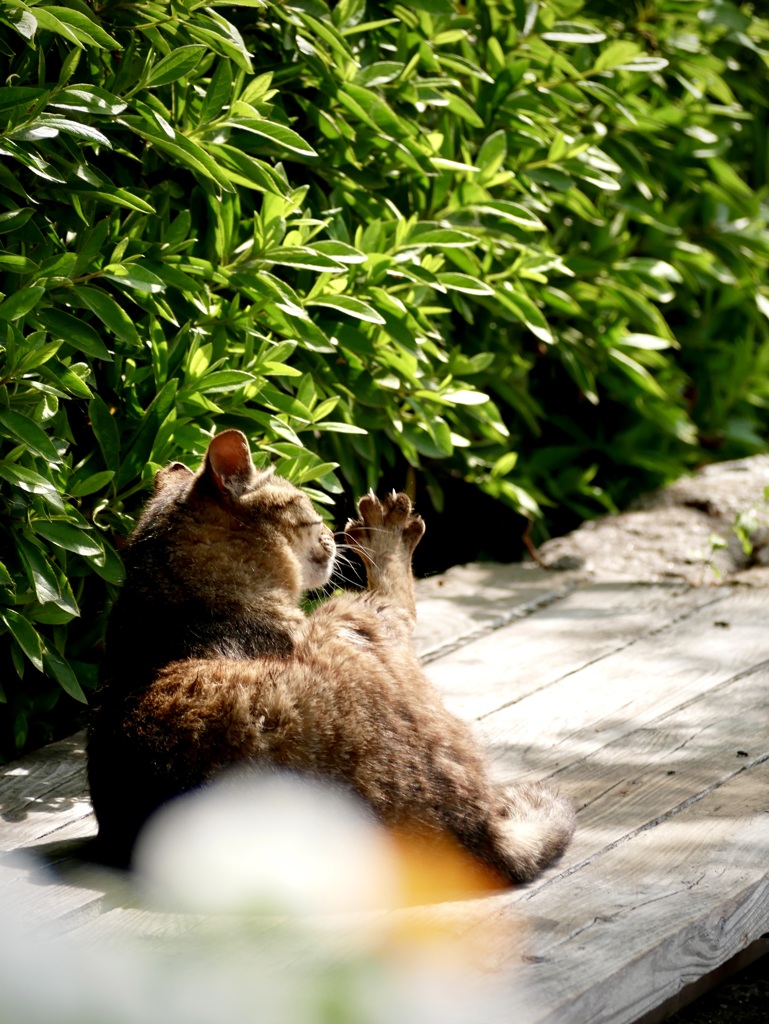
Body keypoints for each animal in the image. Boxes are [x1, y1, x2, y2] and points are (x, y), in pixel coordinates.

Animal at [87, 430, 573, 880]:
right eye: (307, 505)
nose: (328, 531)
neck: (170, 601)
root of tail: (476, 831)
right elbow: (399, 601)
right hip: (349, 615)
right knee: (394, 601)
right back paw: (387, 534)